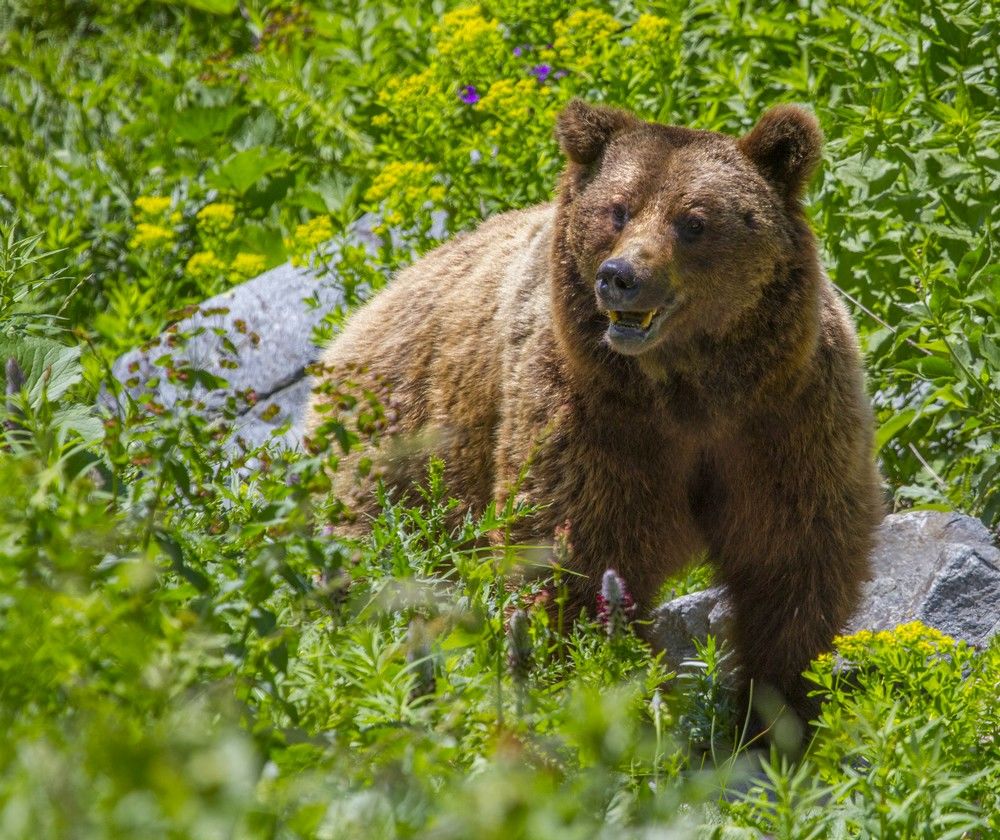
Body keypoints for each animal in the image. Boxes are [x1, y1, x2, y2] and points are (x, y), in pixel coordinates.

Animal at [304, 98, 884, 724]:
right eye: (617, 210)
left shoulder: (784, 417)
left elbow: (794, 559)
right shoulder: (592, 416)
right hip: (399, 455)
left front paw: (774, 711)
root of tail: (361, 315)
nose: (620, 276)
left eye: (694, 220)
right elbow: (573, 557)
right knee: (374, 562)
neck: (688, 392)